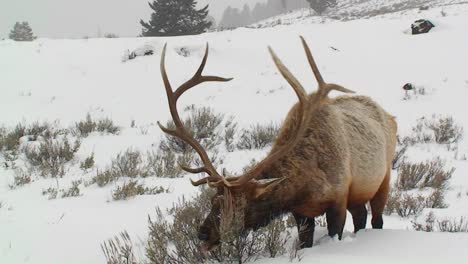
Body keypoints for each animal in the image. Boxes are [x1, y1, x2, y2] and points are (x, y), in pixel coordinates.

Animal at [158, 36, 398, 250]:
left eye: (238, 205)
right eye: (212, 201)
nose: (202, 233)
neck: (305, 186)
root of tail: (390, 116)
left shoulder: (338, 199)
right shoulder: (300, 212)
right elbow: (304, 243)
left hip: (383, 178)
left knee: (376, 219)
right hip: (360, 194)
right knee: (361, 216)